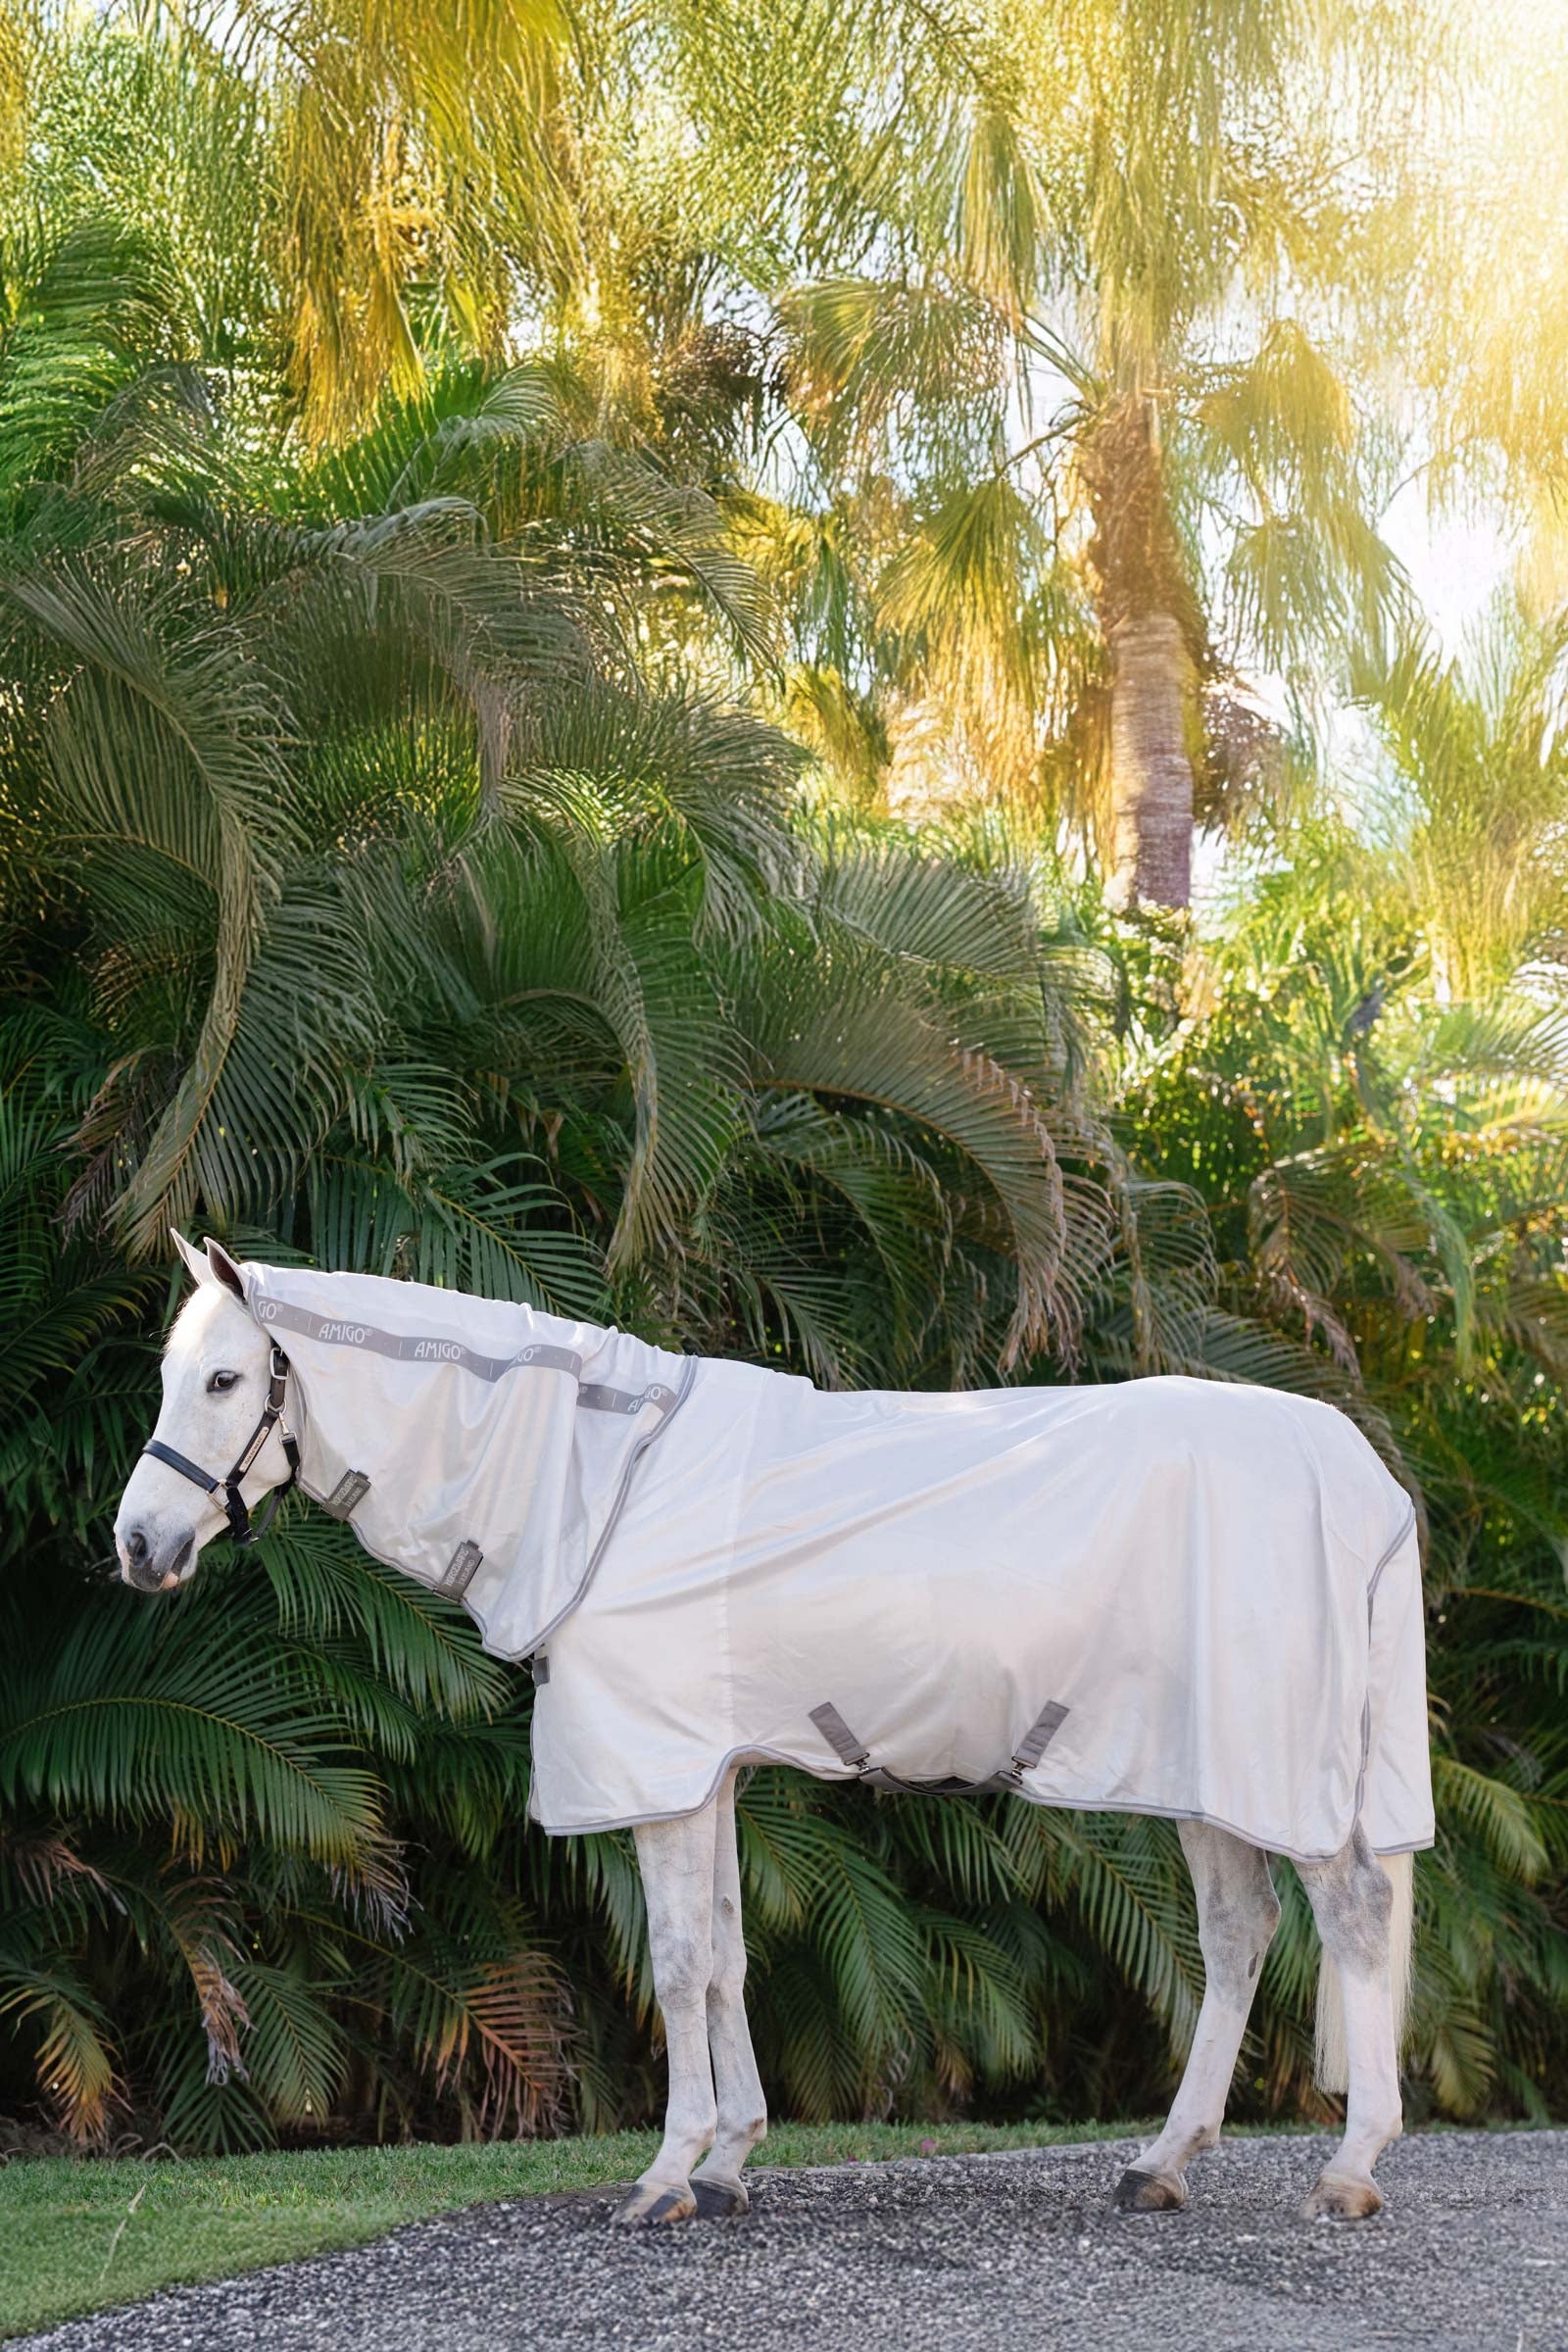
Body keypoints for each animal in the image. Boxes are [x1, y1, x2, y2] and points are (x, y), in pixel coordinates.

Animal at [114, 1234, 1429, 2224]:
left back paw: (1350, 2168)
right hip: (1208, 1772)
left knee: (1352, 1915)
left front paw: (666, 2174)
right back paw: (1162, 2163)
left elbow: (676, 1961)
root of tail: (1362, 1477)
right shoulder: (710, 1774)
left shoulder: (655, 1773)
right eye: (173, 1375)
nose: (136, 1544)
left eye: (225, 1381)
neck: (599, 1481)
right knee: (1242, 1934)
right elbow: (728, 1956)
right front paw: (734, 2159)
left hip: (1276, 1770)